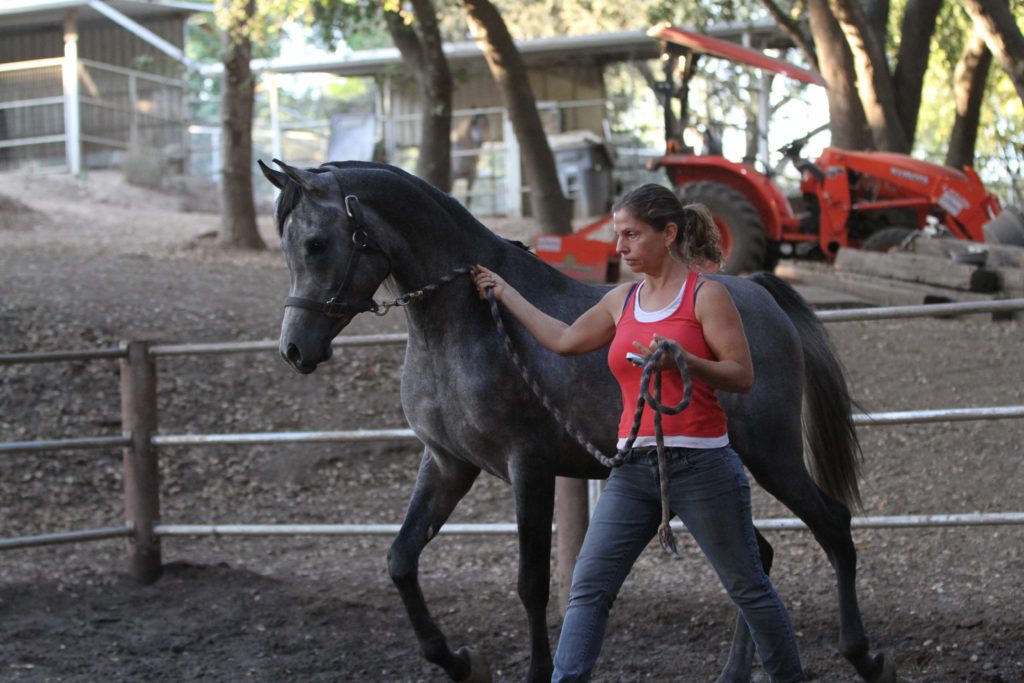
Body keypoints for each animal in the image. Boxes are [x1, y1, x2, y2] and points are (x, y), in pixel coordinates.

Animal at [262, 158, 897, 683]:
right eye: (289, 246)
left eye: (317, 243)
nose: (294, 349)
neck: (465, 325)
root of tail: (762, 295)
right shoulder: (447, 464)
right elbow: (400, 560)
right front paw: (460, 661)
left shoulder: (530, 468)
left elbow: (532, 584)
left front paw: (534, 670)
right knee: (756, 558)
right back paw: (737, 673)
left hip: (773, 456)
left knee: (832, 527)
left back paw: (864, 656)